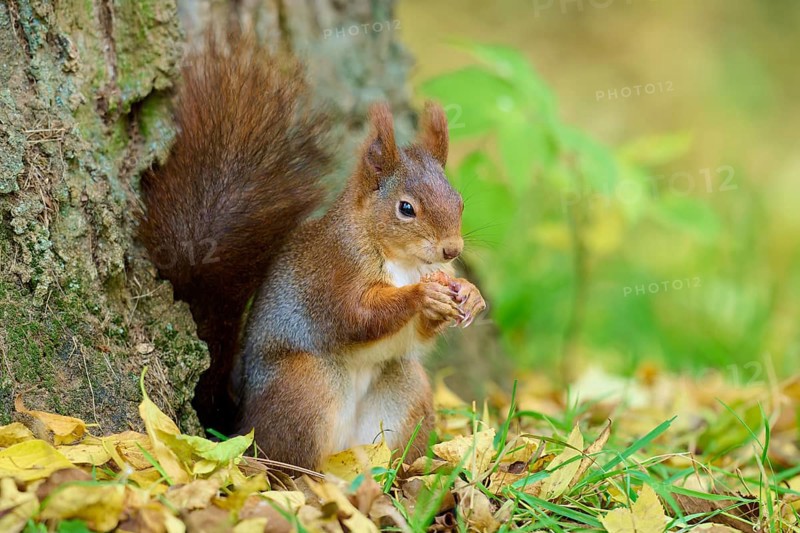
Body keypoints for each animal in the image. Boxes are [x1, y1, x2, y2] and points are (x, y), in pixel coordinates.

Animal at [138, 34, 486, 470]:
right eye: (406, 208)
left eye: (460, 201)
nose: (451, 249)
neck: (403, 260)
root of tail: (240, 423)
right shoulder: (333, 270)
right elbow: (355, 315)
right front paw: (423, 295)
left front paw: (469, 294)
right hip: (306, 387)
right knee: (286, 457)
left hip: (404, 391)